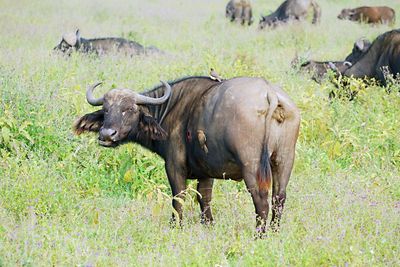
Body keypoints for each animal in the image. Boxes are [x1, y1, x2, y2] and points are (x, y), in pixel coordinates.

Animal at [74, 76, 300, 234]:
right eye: (106, 109)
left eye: (129, 109)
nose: (106, 134)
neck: (171, 109)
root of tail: (269, 94)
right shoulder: (206, 173)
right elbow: (204, 198)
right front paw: (208, 225)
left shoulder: (174, 166)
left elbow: (178, 198)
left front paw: (175, 226)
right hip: (284, 160)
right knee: (279, 197)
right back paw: (275, 232)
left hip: (251, 165)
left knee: (261, 199)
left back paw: (259, 235)